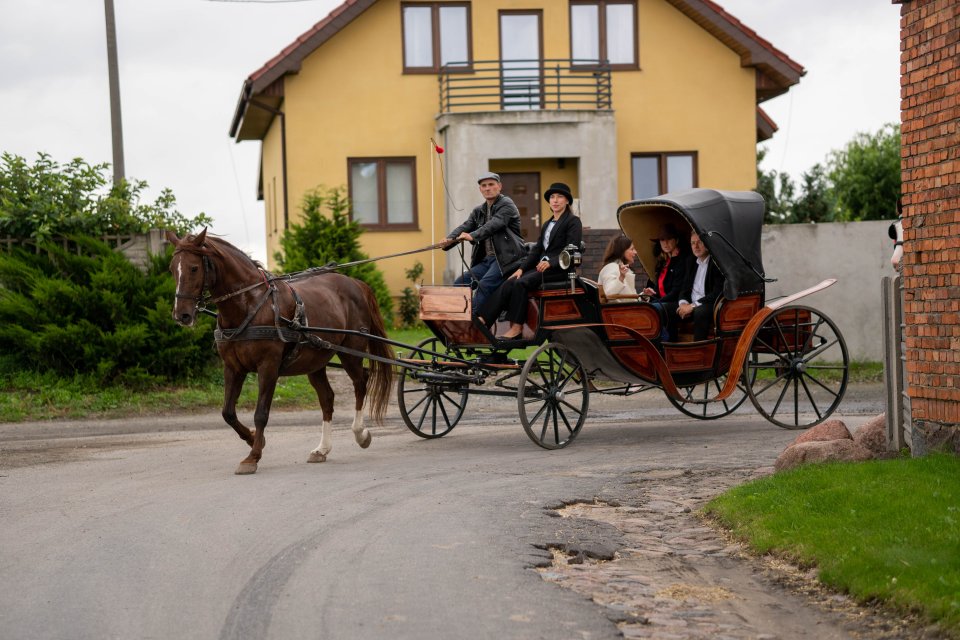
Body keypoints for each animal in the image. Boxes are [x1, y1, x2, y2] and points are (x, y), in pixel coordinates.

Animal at [166, 230, 394, 476]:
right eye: (172, 268)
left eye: (194, 268)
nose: (181, 315)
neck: (250, 304)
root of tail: (355, 283)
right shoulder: (233, 367)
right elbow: (227, 412)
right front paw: (253, 439)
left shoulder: (268, 366)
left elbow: (261, 413)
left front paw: (253, 456)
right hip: (315, 360)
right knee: (327, 398)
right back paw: (322, 449)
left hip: (351, 351)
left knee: (361, 382)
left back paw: (360, 433)